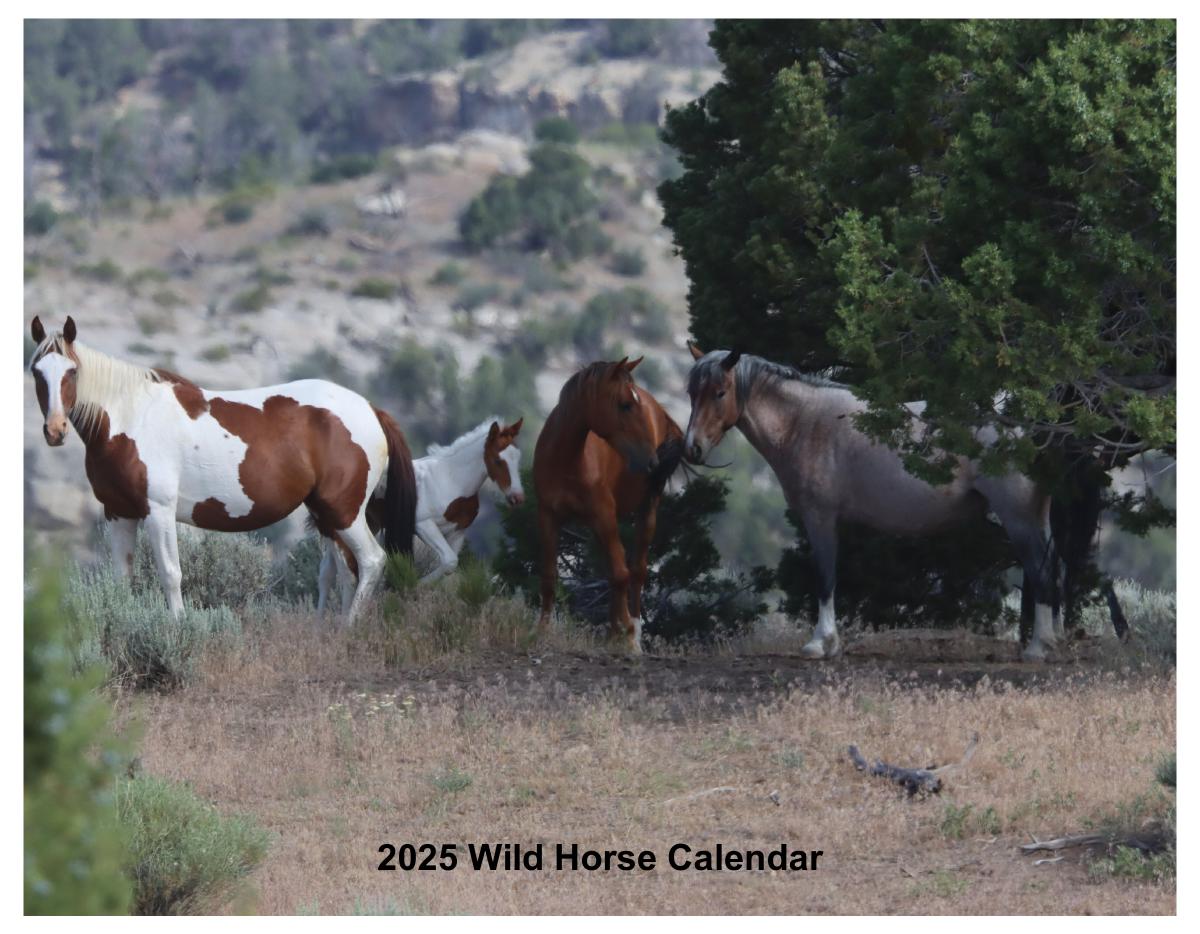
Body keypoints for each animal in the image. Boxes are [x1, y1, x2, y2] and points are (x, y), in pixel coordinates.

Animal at [28, 316, 417, 624]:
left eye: (72, 372)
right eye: (36, 372)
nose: (55, 430)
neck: (131, 418)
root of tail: (371, 409)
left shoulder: (159, 511)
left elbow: (170, 574)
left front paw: (179, 630)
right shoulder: (119, 514)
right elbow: (122, 579)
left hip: (345, 512)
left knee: (371, 561)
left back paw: (349, 628)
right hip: (327, 515)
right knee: (344, 572)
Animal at [316, 412, 523, 605]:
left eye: (518, 459)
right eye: (497, 460)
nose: (517, 497)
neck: (451, 479)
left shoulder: (457, 532)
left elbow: (449, 564)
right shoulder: (424, 525)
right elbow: (448, 561)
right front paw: (405, 589)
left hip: (363, 527)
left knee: (328, 572)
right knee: (341, 572)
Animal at [535, 357, 686, 653]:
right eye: (625, 404)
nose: (652, 461)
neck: (567, 460)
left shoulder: (604, 516)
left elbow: (620, 573)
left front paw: (626, 633)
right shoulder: (547, 517)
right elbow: (549, 576)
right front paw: (543, 630)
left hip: (646, 510)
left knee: (636, 570)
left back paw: (633, 633)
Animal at [686, 343, 1060, 662]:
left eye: (719, 393)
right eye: (692, 393)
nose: (693, 448)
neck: (804, 421)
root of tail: (1027, 428)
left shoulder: (820, 518)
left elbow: (825, 576)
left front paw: (821, 643)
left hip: (1019, 519)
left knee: (1040, 571)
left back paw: (1037, 648)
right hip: (1036, 518)